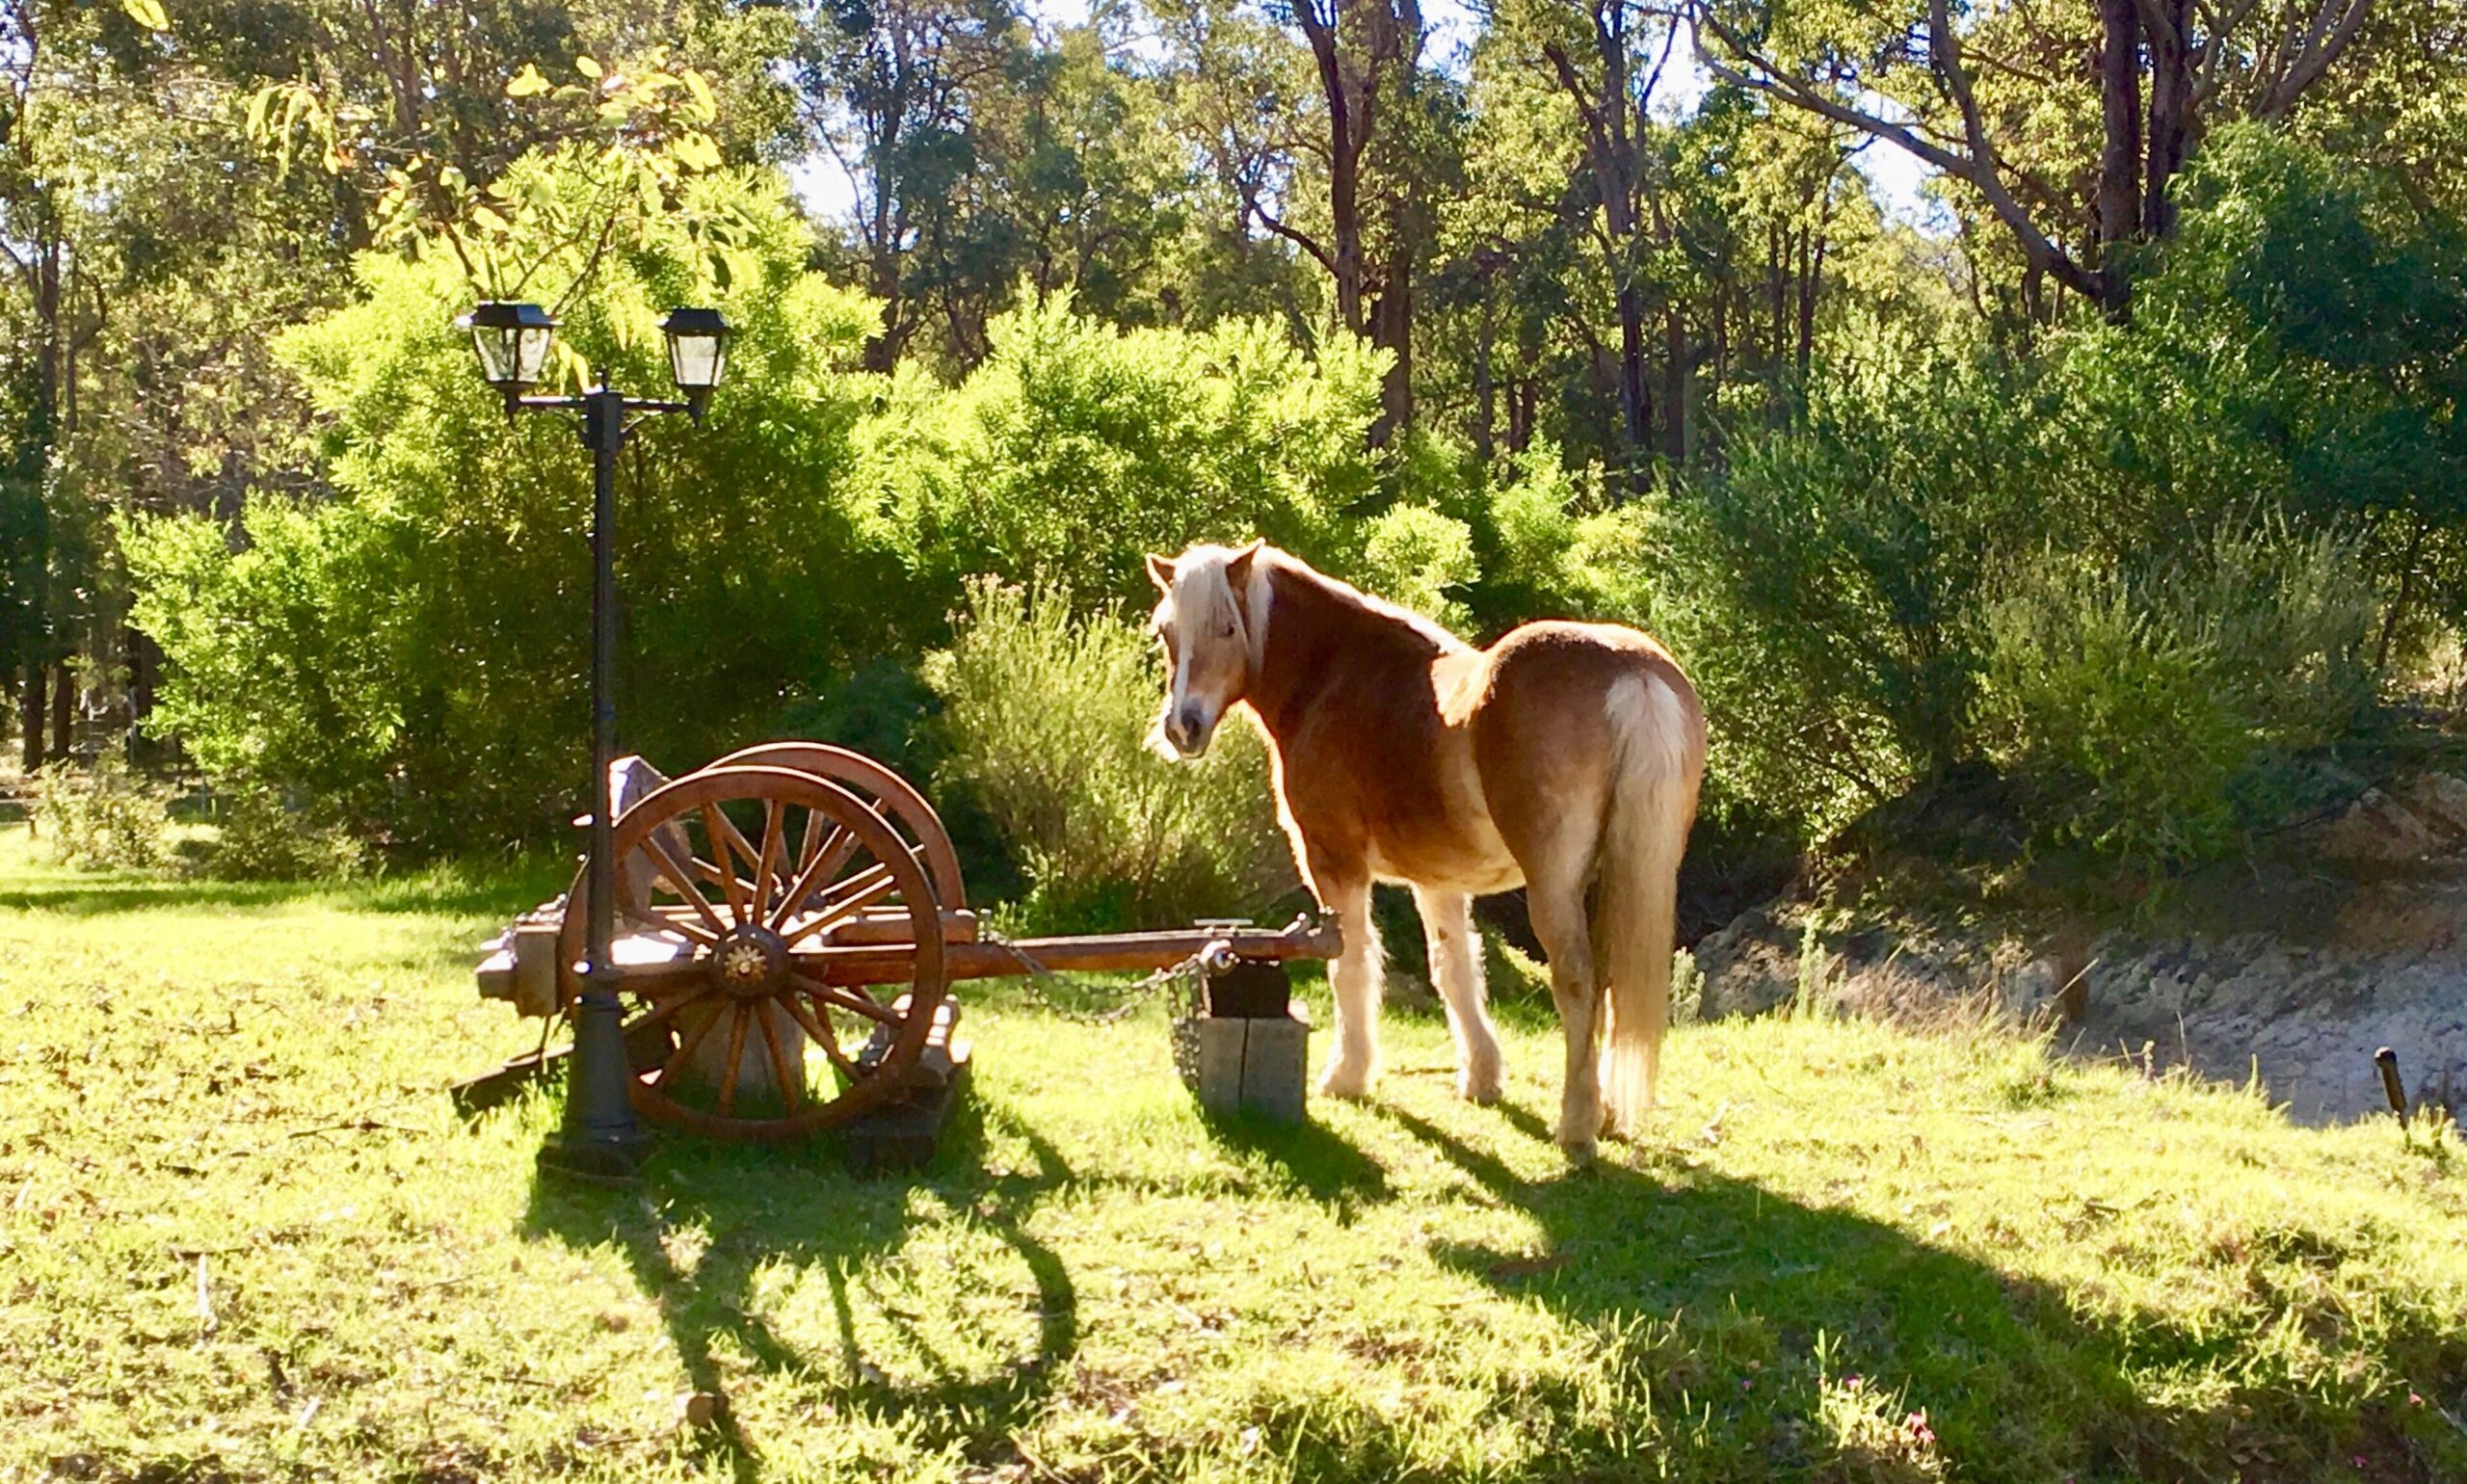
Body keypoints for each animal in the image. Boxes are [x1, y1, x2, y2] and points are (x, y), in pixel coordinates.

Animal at [1149, 537, 1697, 1149]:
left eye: (1227, 627)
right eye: (1167, 631)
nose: (1184, 727)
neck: (1333, 675)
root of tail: (1630, 671)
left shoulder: (1334, 864)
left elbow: (1351, 962)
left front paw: (1346, 1075)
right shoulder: (1438, 881)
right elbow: (1454, 969)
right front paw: (1482, 1078)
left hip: (1553, 887)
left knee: (1577, 981)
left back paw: (1576, 1124)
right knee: (1608, 982)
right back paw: (1601, 1110)